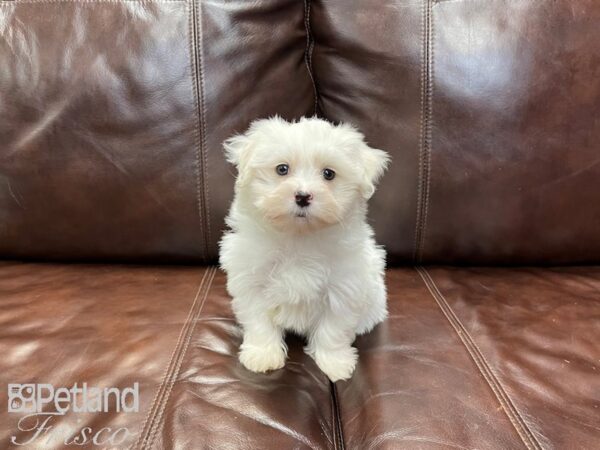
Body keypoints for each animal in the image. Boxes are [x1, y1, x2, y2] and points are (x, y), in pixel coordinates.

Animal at [218, 118, 392, 382]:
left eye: (329, 174)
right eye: (282, 169)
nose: (302, 196)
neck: (298, 237)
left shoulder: (344, 286)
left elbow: (334, 328)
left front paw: (334, 362)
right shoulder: (251, 282)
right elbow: (259, 321)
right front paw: (263, 355)